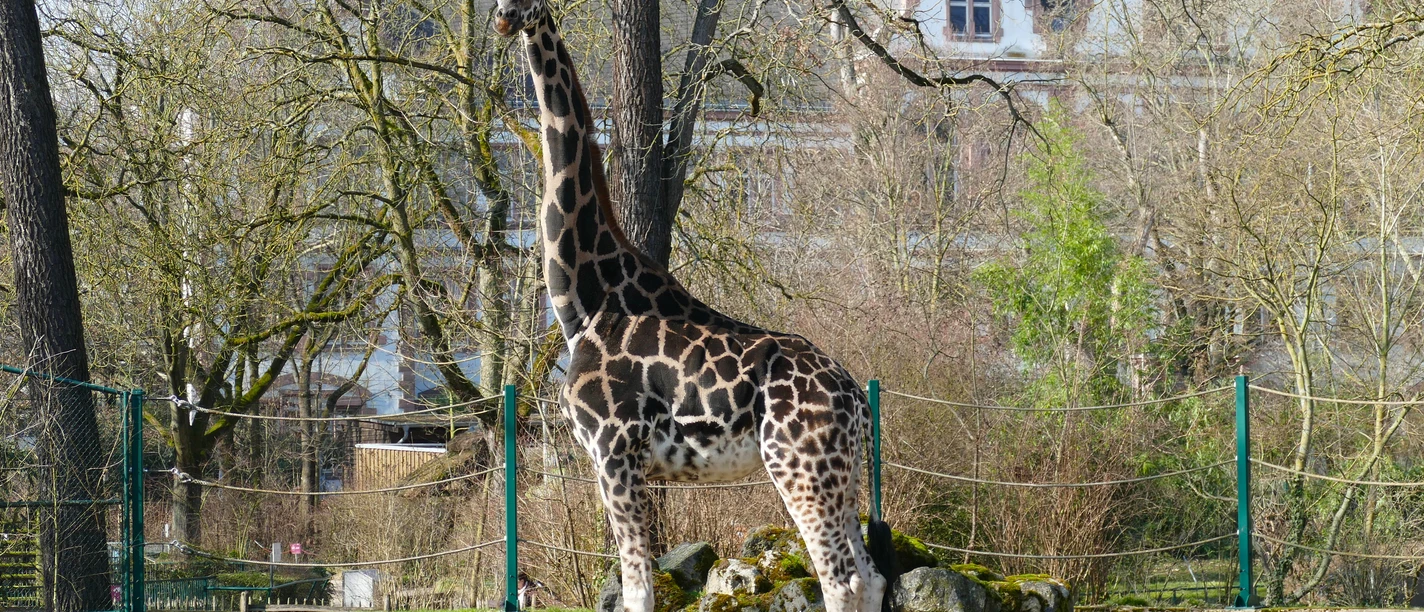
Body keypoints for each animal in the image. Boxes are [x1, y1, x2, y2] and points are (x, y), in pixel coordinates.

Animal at [492, 6, 894, 612]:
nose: (503, 18)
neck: (586, 302)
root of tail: (855, 401)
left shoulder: (614, 453)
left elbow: (638, 589)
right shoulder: (628, 464)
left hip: (800, 468)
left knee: (840, 581)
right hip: (840, 477)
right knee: (870, 579)